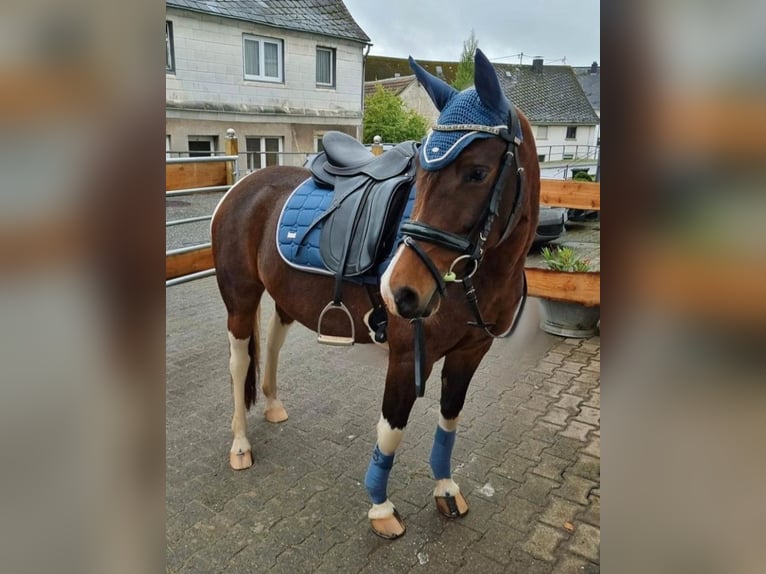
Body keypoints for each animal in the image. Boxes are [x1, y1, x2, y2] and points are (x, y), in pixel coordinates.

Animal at [212, 49, 540, 540]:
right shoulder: (406, 357)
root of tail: (242, 185)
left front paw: (445, 488)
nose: (399, 291)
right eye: (421, 172)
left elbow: (449, 419)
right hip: (240, 299)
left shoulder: (471, 352)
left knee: (271, 341)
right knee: (238, 362)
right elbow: (391, 429)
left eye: (477, 172)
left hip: (283, 297)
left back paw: (272, 405)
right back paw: (239, 444)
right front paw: (381, 508)